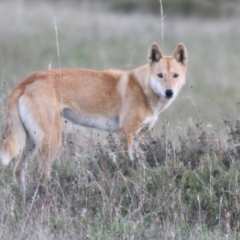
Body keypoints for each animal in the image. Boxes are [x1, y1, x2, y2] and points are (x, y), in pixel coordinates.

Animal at [0, 42, 188, 190]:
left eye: (175, 75)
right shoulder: (126, 133)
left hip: (32, 142)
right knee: (41, 175)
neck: (143, 88)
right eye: (160, 75)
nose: (169, 92)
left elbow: (136, 162)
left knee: (18, 171)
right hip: (51, 139)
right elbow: (125, 163)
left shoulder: (136, 136)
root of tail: (26, 81)